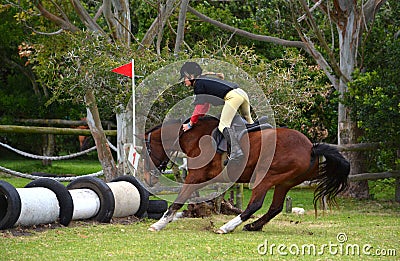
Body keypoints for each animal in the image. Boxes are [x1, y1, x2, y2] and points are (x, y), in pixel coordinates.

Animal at [142, 116, 348, 232]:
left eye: (145, 152)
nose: (147, 179)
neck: (194, 136)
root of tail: (311, 148)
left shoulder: (196, 176)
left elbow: (178, 200)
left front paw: (159, 224)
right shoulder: (204, 178)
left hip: (266, 177)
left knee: (254, 205)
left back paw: (226, 228)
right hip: (285, 182)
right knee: (275, 208)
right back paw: (253, 227)